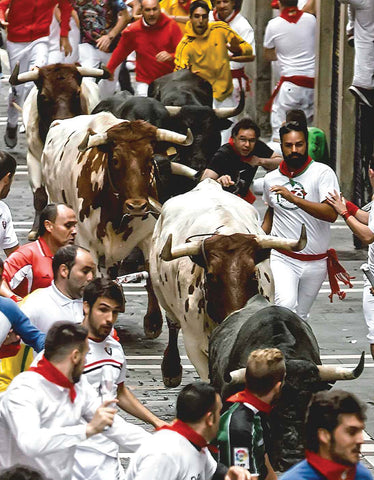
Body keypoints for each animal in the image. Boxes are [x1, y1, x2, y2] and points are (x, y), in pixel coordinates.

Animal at [149, 179, 306, 386]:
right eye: (211, 275)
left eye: (253, 274)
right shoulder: (193, 343)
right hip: (163, 297)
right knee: (172, 324)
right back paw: (171, 371)